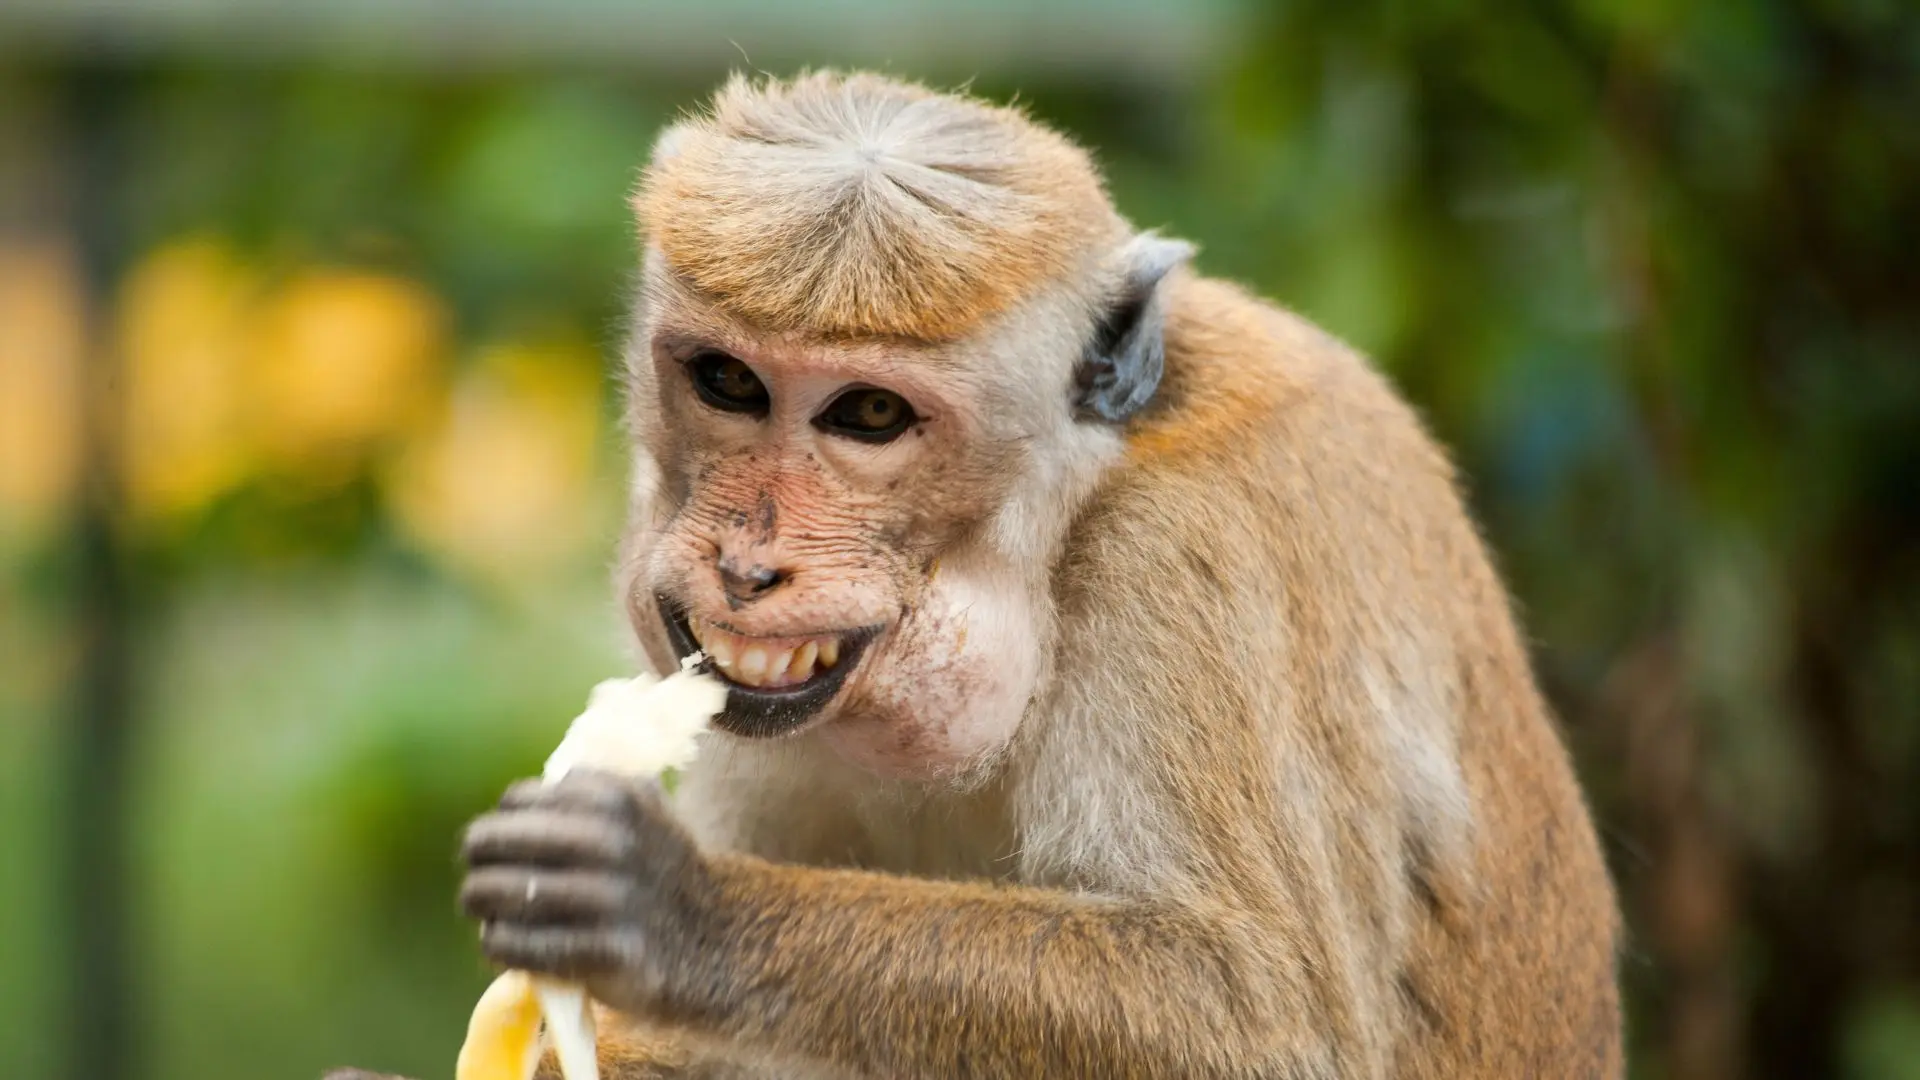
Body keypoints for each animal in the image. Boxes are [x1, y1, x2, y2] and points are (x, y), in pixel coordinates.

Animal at [331, 69, 1623, 1080]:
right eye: (731, 384)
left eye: (869, 415)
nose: (748, 563)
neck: (1061, 518)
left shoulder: (1188, 563)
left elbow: (1262, 1021)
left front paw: (678, 915)